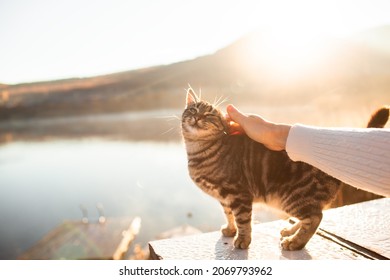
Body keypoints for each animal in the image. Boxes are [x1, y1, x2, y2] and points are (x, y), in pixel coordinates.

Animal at [181, 88, 388, 250]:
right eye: (193, 109)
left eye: (209, 115)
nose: (197, 116)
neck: (197, 150)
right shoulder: (224, 197)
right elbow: (229, 214)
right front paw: (230, 230)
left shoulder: (238, 194)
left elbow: (243, 219)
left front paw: (242, 239)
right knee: (311, 215)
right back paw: (291, 230)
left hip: (291, 196)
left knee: (315, 217)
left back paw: (295, 242)